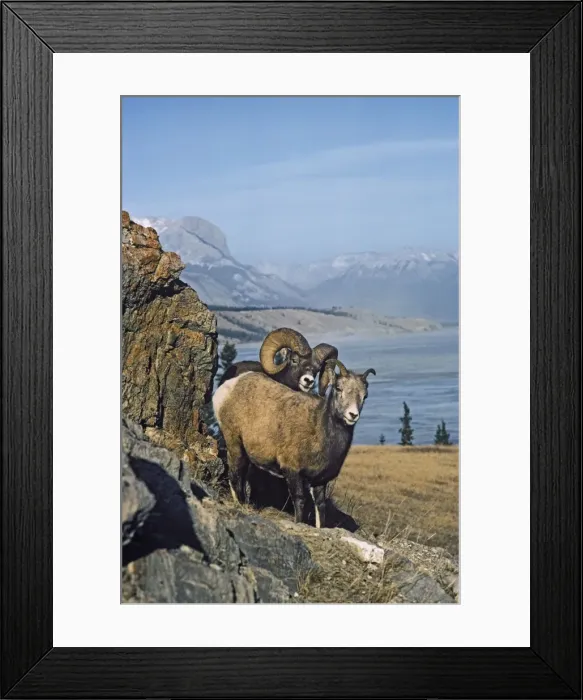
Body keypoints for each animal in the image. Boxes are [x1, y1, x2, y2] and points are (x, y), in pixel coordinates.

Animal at [213, 359, 376, 528]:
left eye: (364, 396)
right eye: (338, 388)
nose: (352, 415)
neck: (318, 431)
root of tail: (228, 387)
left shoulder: (319, 481)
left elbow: (320, 508)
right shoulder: (292, 472)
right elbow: (299, 502)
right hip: (234, 444)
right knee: (234, 475)